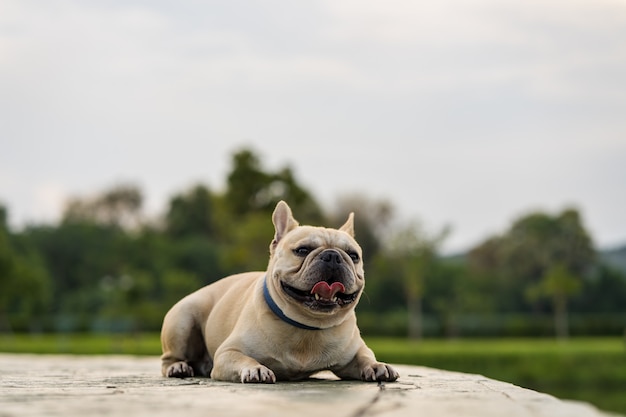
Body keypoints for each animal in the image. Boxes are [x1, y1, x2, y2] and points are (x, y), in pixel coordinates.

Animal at [158, 200, 398, 382]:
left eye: (353, 255)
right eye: (302, 250)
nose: (332, 255)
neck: (307, 326)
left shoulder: (354, 354)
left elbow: (365, 357)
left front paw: (377, 365)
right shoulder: (228, 353)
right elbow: (244, 359)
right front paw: (256, 369)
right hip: (182, 320)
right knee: (169, 358)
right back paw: (178, 367)